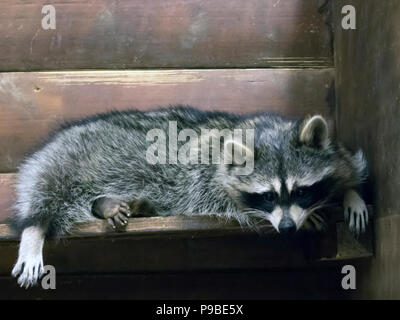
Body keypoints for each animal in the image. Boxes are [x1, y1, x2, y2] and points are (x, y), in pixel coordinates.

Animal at [10, 105, 368, 288]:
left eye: (301, 190)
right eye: (267, 197)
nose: (287, 228)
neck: (262, 130)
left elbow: (344, 166)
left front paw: (348, 190)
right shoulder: (204, 175)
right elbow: (224, 201)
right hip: (67, 158)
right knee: (46, 189)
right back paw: (35, 228)